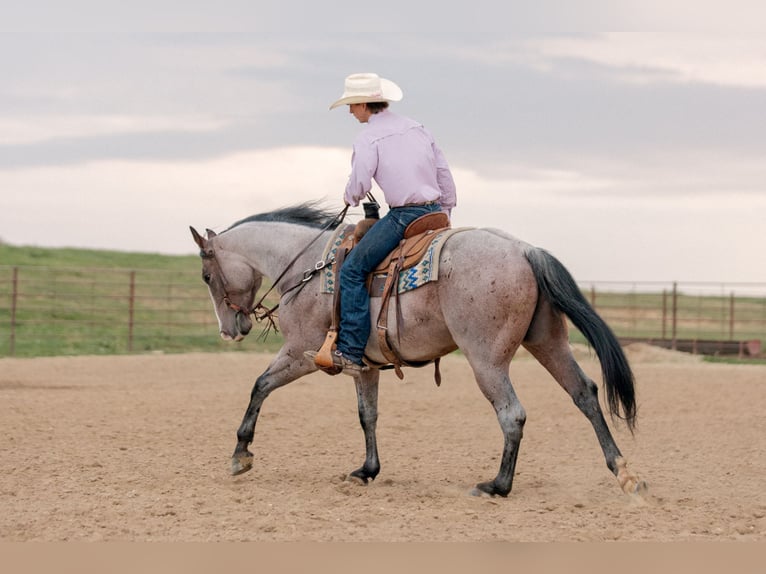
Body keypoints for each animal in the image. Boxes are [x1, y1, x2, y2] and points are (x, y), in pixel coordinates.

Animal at [190, 202, 645, 497]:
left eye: (206, 275)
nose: (230, 330)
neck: (308, 267)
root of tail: (523, 249)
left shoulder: (300, 352)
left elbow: (259, 386)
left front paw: (241, 455)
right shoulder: (363, 365)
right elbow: (367, 415)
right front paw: (367, 471)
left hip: (487, 360)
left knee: (512, 414)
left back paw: (497, 486)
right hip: (548, 342)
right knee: (585, 394)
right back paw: (623, 472)